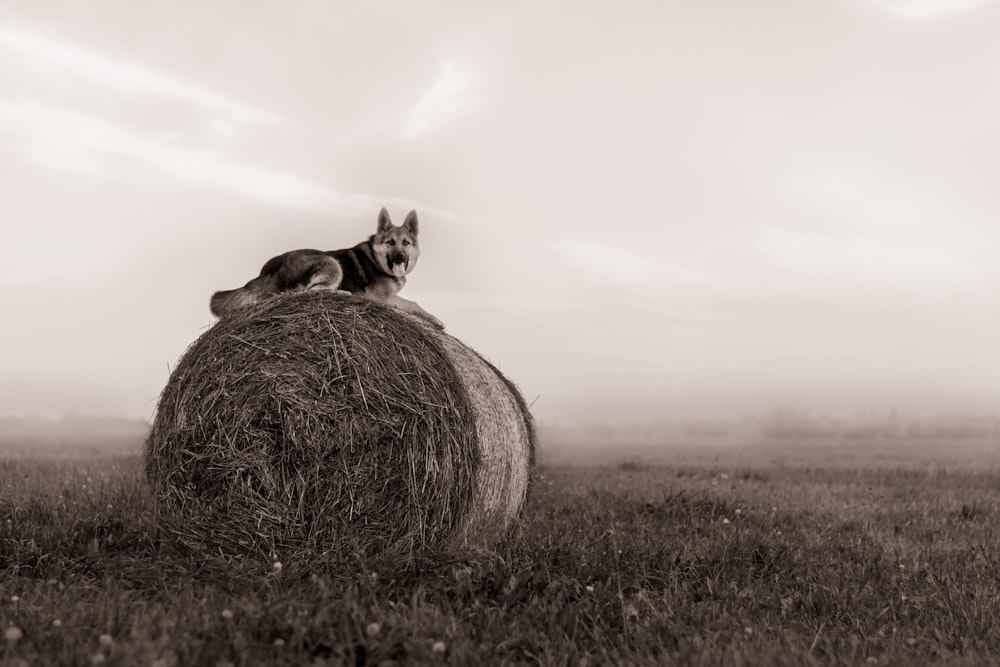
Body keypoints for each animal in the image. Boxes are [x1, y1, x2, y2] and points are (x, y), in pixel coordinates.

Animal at [209, 206, 444, 326]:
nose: (400, 257)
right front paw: (436, 320)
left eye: (405, 243)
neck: (377, 259)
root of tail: (271, 265)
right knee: (306, 292)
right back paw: (344, 294)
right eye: (390, 242)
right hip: (331, 262)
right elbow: (413, 303)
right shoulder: (382, 297)